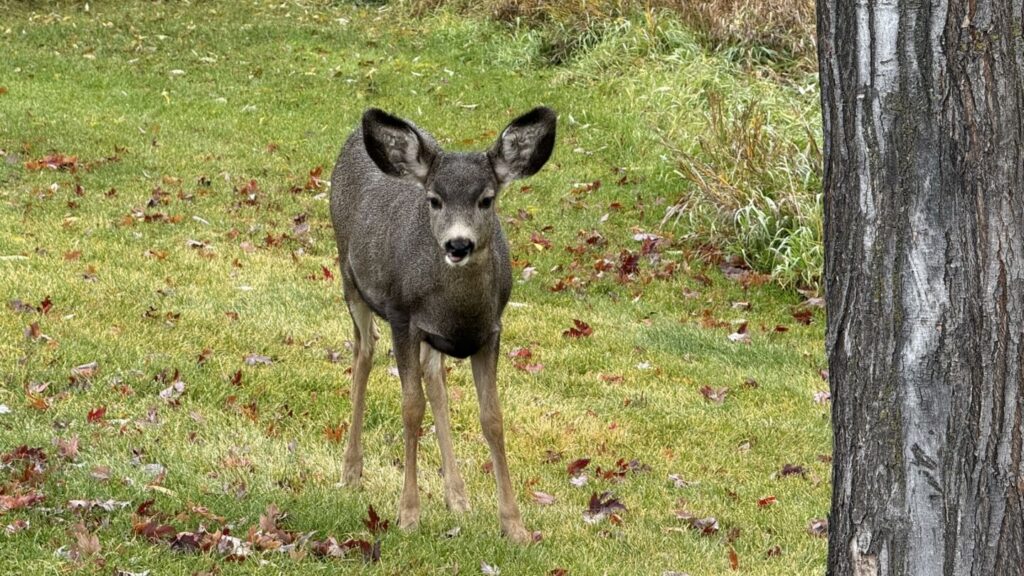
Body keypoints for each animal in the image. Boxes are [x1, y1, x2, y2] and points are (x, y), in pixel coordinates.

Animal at [328, 107, 557, 543]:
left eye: (486, 199)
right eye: (434, 200)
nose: (458, 244)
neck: (457, 311)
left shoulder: (491, 330)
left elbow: (492, 417)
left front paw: (514, 526)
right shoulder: (403, 316)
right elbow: (410, 408)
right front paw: (408, 515)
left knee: (434, 377)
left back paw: (458, 495)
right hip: (350, 278)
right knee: (364, 350)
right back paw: (350, 470)